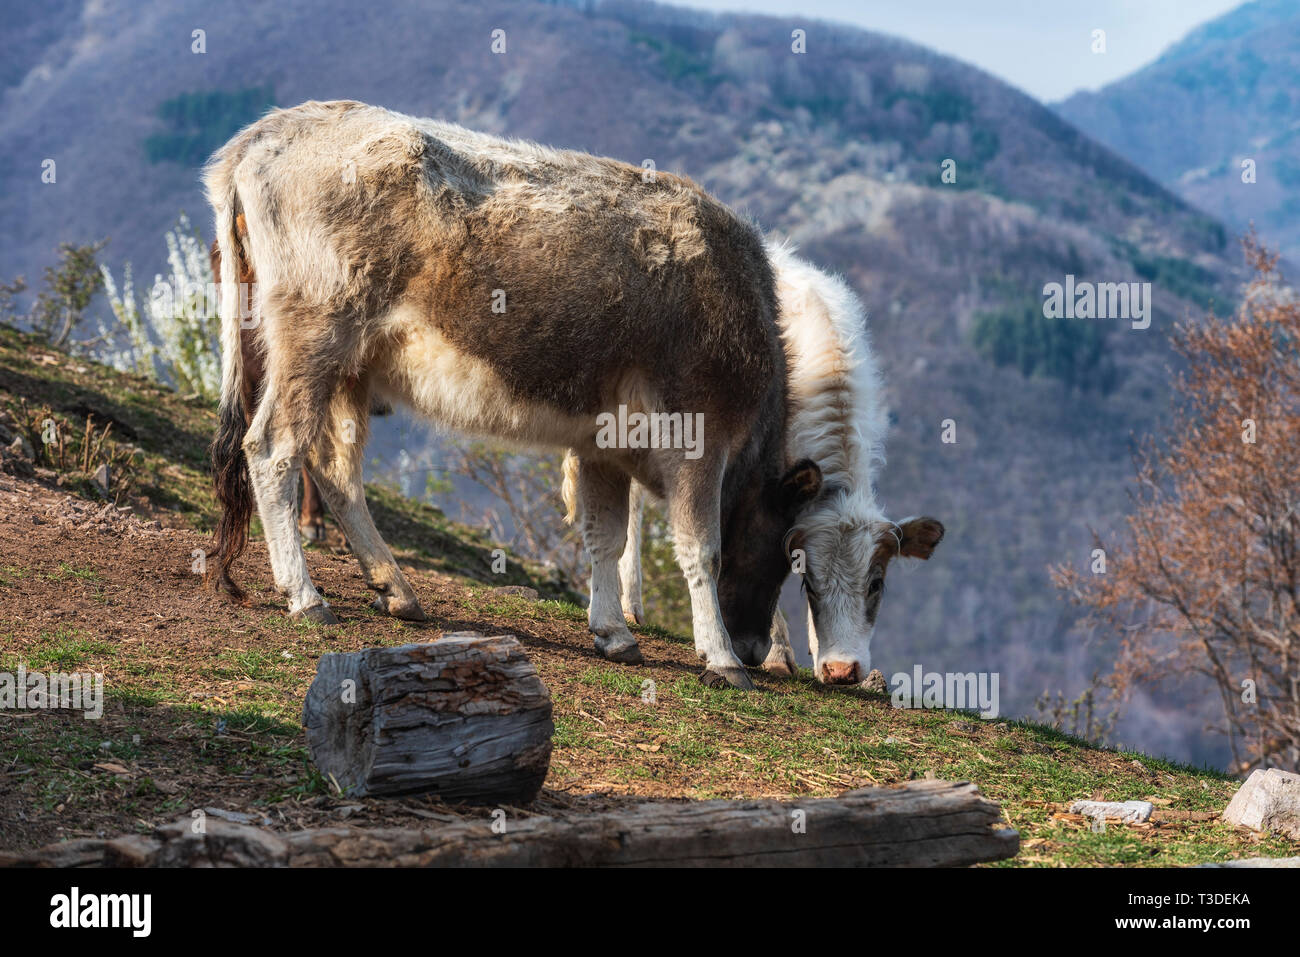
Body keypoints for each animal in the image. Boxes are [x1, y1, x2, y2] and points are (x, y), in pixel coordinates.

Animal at [204, 102, 821, 686]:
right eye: (785, 555)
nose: (755, 648)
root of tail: (268, 131)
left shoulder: (606, 444)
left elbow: (606, 538)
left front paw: (614, 633)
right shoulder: (699, 435)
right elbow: (701, 549)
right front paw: (722, 658)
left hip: (349, 369)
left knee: (336, 470)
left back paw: (395, 588)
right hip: (312, 338)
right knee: (272, 449)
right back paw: (305, 596)